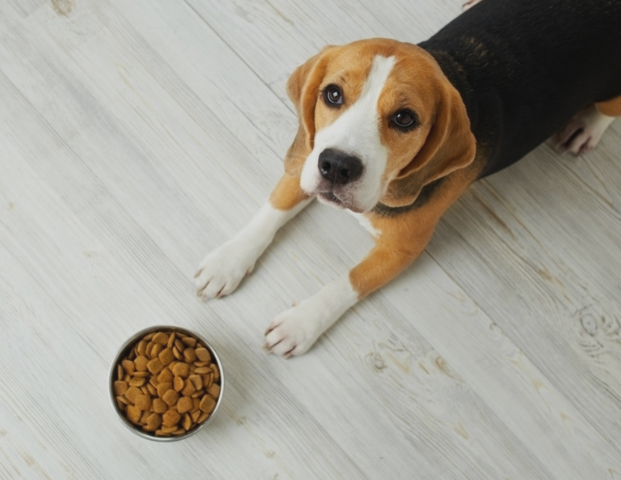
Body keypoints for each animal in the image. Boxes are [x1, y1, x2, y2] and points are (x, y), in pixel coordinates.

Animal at [196, 0, 620, 356]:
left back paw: (588, 127)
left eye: (404, 118)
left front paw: (302, 322)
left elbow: (349, 281)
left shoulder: (403, 249)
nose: (337, 166)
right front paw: (228, 261)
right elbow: (272, 210)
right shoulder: (305, 162)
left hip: (611, 94)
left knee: (608, 111)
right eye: (332, 94)